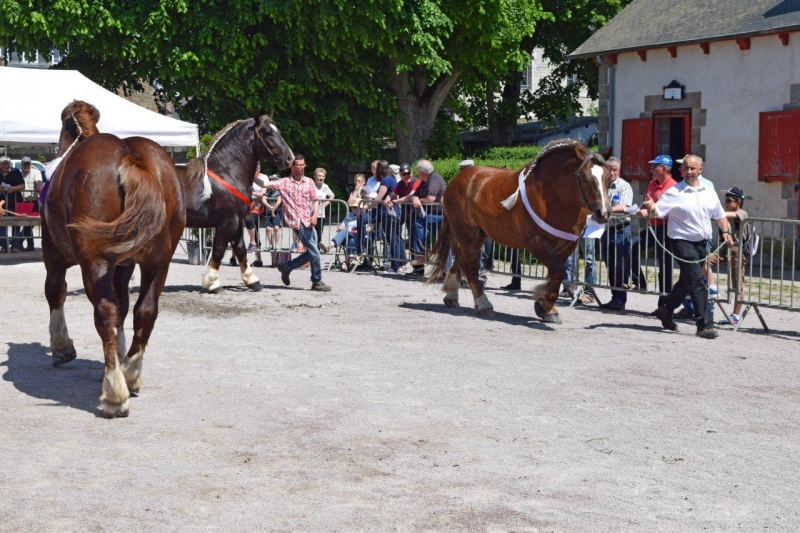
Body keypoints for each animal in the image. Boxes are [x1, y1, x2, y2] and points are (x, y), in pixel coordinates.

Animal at [44, 98, 187, 416]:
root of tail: (131, 157)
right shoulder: (124, 264)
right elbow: (123, 306)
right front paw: (121, 359)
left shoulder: (55, 256)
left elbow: (55, 292)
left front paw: (62, 347)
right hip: (158, 262)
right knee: (145, 311)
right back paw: (130, 374)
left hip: (94, 262)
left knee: (104, 313)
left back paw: (114, 392)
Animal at [177, 114, 296, 294]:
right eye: (267, 132)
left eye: (278, 131)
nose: (290, 158)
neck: (226, 173)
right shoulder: (228, 221)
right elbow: (219, 249)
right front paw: (213, 282)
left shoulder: (238, 221)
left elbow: (240, 249)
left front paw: (252, 280)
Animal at [432, 139, 612, 322]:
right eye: (584, 178)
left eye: (609, 179)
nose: (603, 213)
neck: (554, 196)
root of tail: (457, 179)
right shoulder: (536, 241)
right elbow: (558, 271)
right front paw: (546, 305)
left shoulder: (567, 244)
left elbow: (555, 274)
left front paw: (546, 307)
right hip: (467, 235)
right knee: (470, 268)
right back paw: (483, 304)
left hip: (477, 237)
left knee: (461, 261)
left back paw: (451, 296)